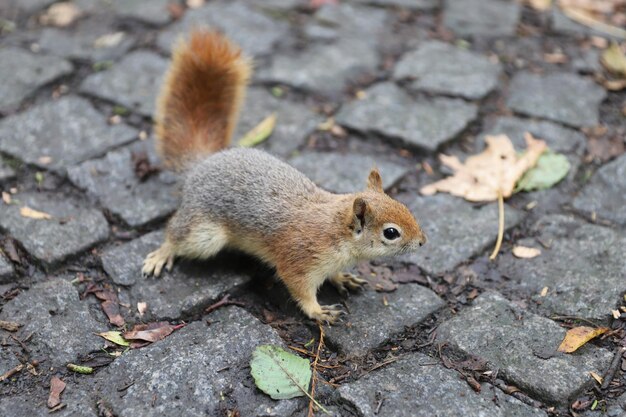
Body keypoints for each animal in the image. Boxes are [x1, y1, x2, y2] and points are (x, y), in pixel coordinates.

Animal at [141, 29, 424, 324]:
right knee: (175, 233)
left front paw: (342, 278)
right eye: (391, 233)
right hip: (203, 233)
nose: (422, 241)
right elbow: (299, 288)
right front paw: (318, 311)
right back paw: (162, 254)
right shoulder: (298, 258)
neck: (336, 232)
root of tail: (201, 165)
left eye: (405, 206)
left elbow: (333, 274)